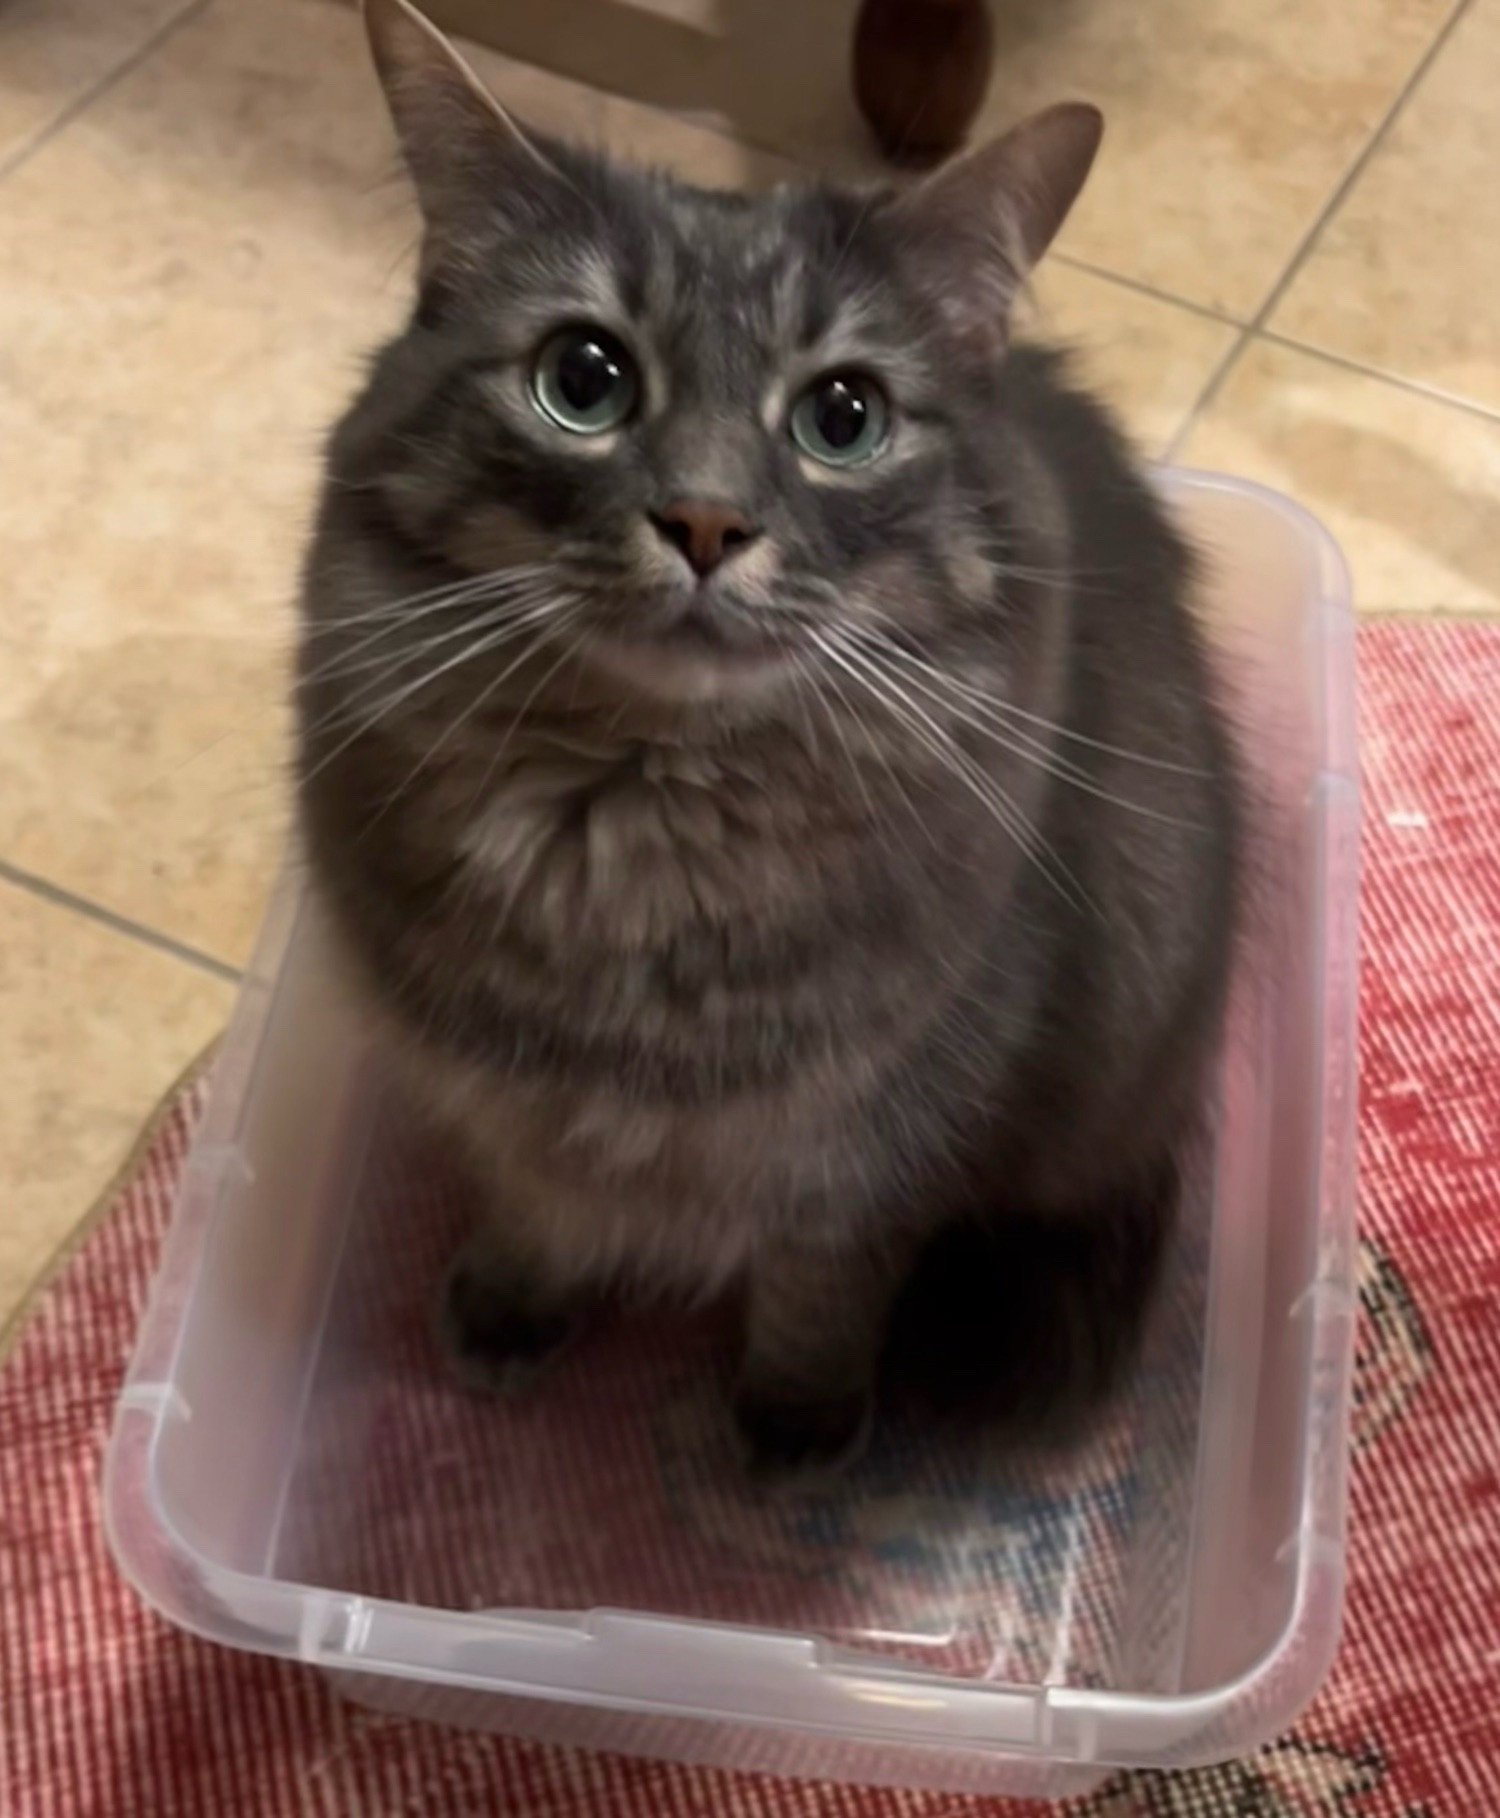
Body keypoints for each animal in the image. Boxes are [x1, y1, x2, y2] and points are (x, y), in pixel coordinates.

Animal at [292, 0, 1243, 1476]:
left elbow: (819, 1285)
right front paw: (508, 1312)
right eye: (584, 380)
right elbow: (532, 1208)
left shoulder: (887, 1140)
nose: (704, 519)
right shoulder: (498, 1094)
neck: (645, 821)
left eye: (841, 417)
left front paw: (794, 1432)